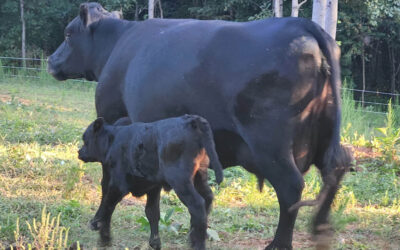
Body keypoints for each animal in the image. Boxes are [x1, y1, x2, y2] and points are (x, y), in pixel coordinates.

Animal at [78, 114, 225, 249]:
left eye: (85, 139)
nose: (79, 152)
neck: (113, 141)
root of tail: (192, 120)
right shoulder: (153, 187)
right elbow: (152, 212)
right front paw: (155, 242)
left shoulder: (118, 185)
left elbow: (108, 206)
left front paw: (104, 237)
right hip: (199, 176)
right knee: (207, 198)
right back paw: (195, 235)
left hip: (180, 181)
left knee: (197, 204)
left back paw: (198, 244)